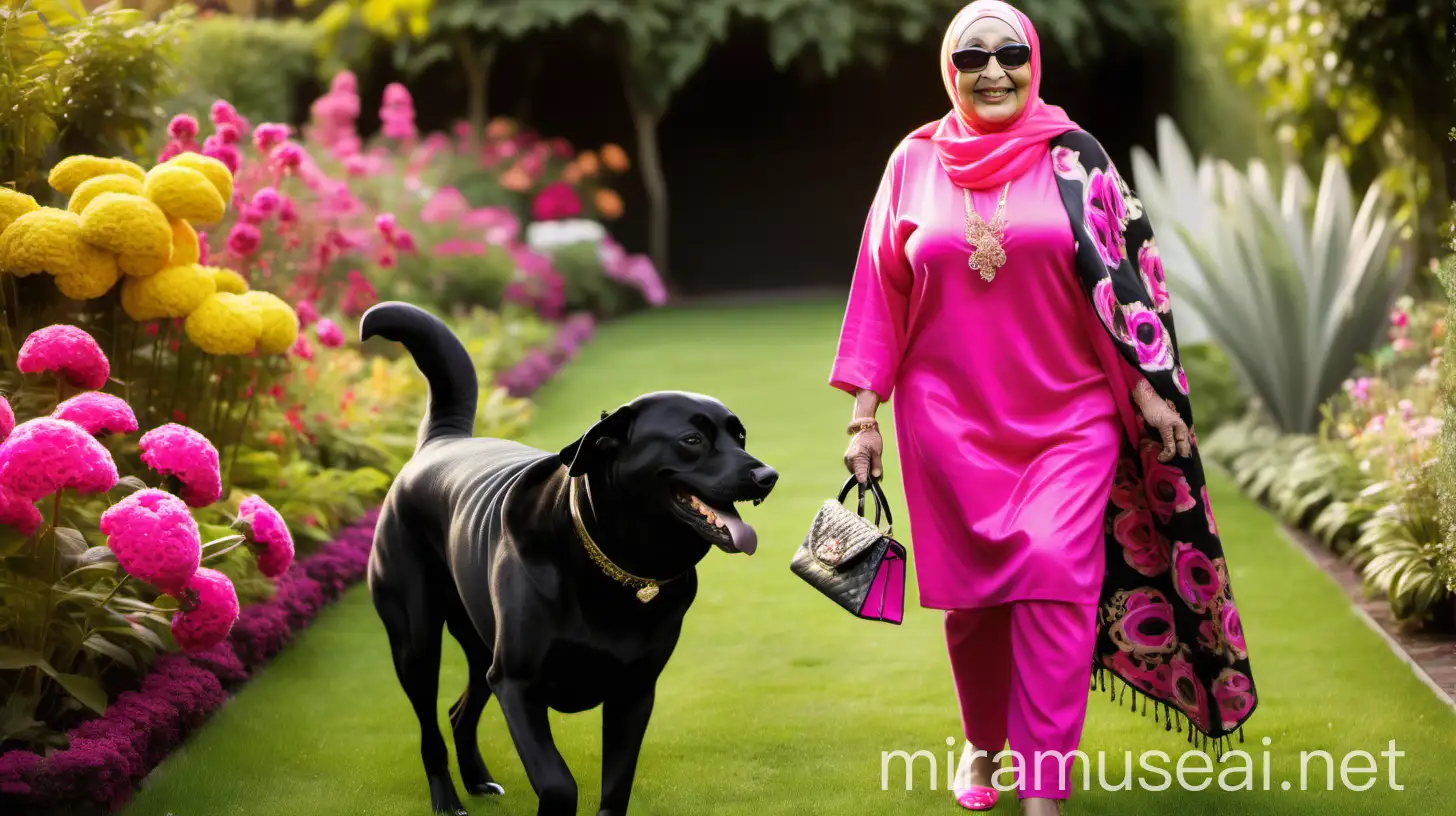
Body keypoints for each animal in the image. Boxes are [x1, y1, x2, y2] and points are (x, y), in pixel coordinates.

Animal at [359, 303, 780, 816]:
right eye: (692, 440)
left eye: (740, 436)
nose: (767, 476)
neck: (619, 567)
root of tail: (441, 441)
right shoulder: (517, 683)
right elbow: (559, 783)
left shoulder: (634, 691)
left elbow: (616, 785)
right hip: (416, 642)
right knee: (430, 729)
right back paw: (448, 800)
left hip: (480, 645)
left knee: (460, 712)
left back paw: (478, 780)